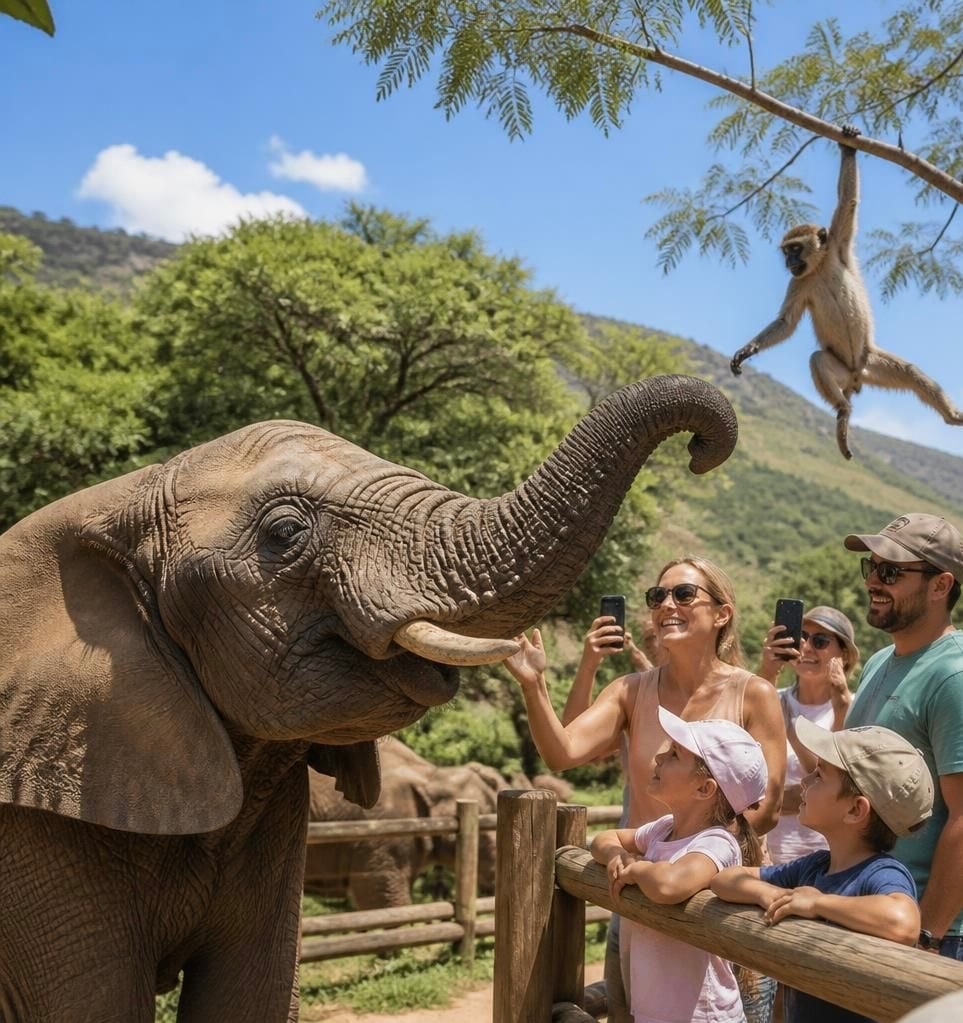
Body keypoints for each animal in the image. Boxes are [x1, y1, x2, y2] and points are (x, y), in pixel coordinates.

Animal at [730, 125, 963, 460]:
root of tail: (855, 377)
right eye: (786, 252)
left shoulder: (837, 245)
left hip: (870, 362)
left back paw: (952, 416)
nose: (788, 262)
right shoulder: (798, 282)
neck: (818, 268)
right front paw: (748, 350)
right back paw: (843, 412)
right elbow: (786, 323)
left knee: (911, 373)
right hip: (844, 369)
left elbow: (848, 203)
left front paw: (848, 145)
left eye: (795, 249)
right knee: (819, 360)